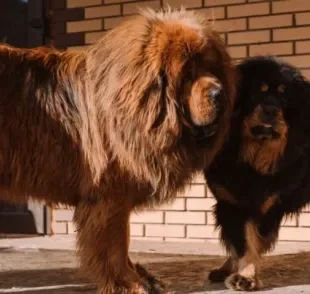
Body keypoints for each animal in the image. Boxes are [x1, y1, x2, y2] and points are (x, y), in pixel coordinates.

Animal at [0, 8, 235, 294]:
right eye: (188, 73)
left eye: (212, 69)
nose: (220, 93)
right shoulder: (110, 196)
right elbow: (115, 246)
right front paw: (129, 282)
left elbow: (122, 243)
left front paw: (141, 276)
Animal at [205, 55, 310, 292]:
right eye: (255, 94)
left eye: (283, 98)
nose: (270, 109)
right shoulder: (231, 204)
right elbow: (241, 243)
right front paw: (238, 271)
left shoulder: (267, 207)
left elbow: (252, 243)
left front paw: (246, 276)